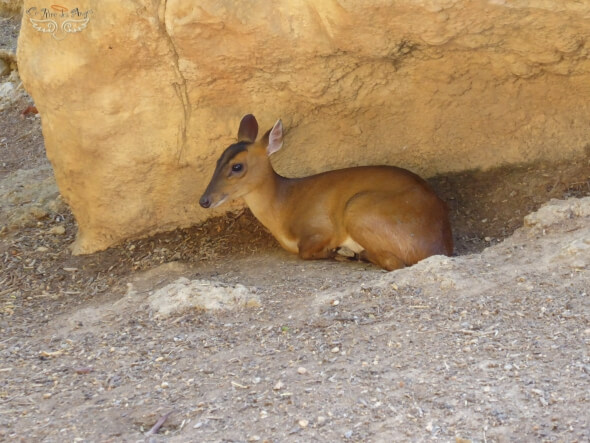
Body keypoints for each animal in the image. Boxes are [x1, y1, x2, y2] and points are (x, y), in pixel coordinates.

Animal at [201, 114, 456, 270]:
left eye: (237, 166)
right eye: (217, 160)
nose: (204, 200)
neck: (282, 207)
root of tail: (441, 247)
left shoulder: (321, 227)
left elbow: (306, 251)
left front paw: (338, 252)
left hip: (359, 208)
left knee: (394, 263)